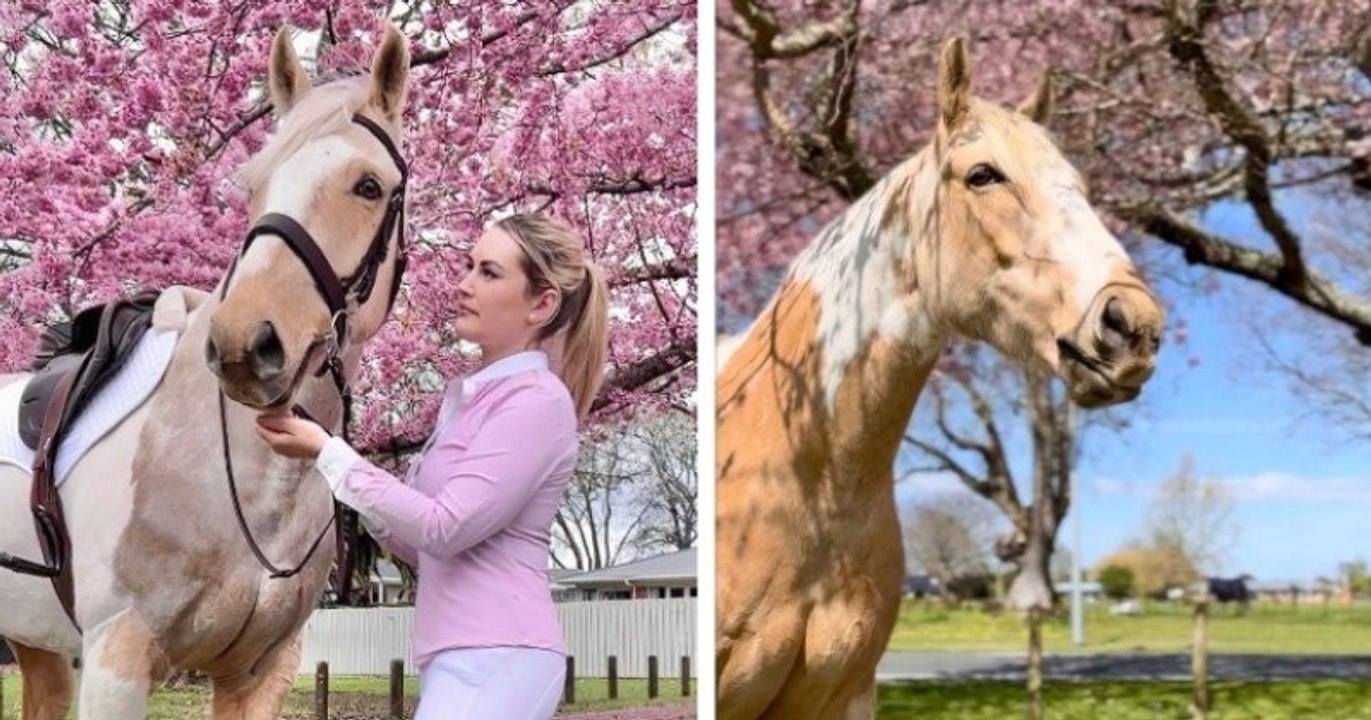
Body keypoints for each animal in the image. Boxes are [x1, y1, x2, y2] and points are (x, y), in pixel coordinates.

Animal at [0, 24, 411, 719]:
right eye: (256, 184)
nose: (248, 341)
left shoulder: (260, 671)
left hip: (37, 646)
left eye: (369, 186)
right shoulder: (116, 661)